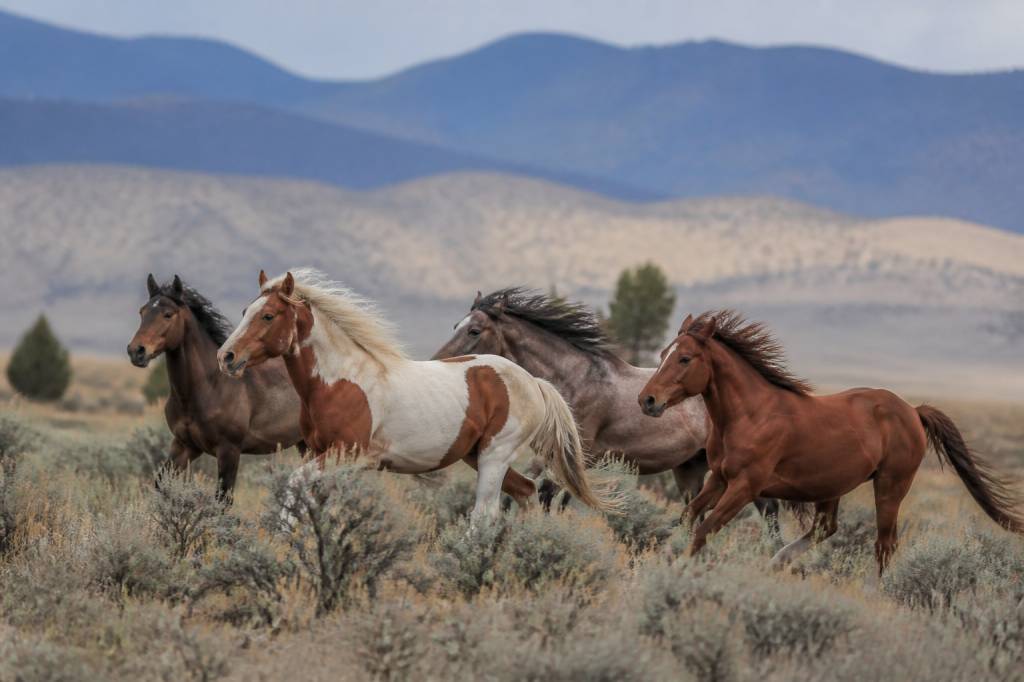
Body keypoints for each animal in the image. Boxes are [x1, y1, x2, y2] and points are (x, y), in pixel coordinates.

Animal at [127, 274, 305, 501]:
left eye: (168, 314)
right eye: (142, 312)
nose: (136, 351)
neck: (210, 387)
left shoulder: (229, 451)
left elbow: (222, 499)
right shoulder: (184, 445)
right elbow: (160, 484)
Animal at [215, 269, 620, 524]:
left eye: (268, 316)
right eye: (245, 310)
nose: (226, 357)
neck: (342, 379)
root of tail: (534, 382)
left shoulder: (347, 454)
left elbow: (294, 485)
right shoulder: (319, 452)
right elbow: (313, 501)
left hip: (495, 455)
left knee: (485, 514)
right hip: (477, 456)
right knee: (525, 493)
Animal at [432, 288, 779, 528]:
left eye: (474, 330)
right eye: (455, 325)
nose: (438, 363)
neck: (573, 380)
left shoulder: (575, 454)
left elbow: (548, 496)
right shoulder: (548, 456)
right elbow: (523, 493)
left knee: (770, 512)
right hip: (690, 469)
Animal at [638, 310, 1024, 573]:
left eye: (685, 358)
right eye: (663, 354)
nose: (647, 400)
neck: (751, 414)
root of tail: (913, 411)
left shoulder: (745, 486)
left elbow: (703, 529)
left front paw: (678, 567)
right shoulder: (719, 478)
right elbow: (688, 517)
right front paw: (661, 558)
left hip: (890, 487)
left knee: (885, 544)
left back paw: (874, 592)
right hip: (831, 485)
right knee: (827, 527)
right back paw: (777, 562)